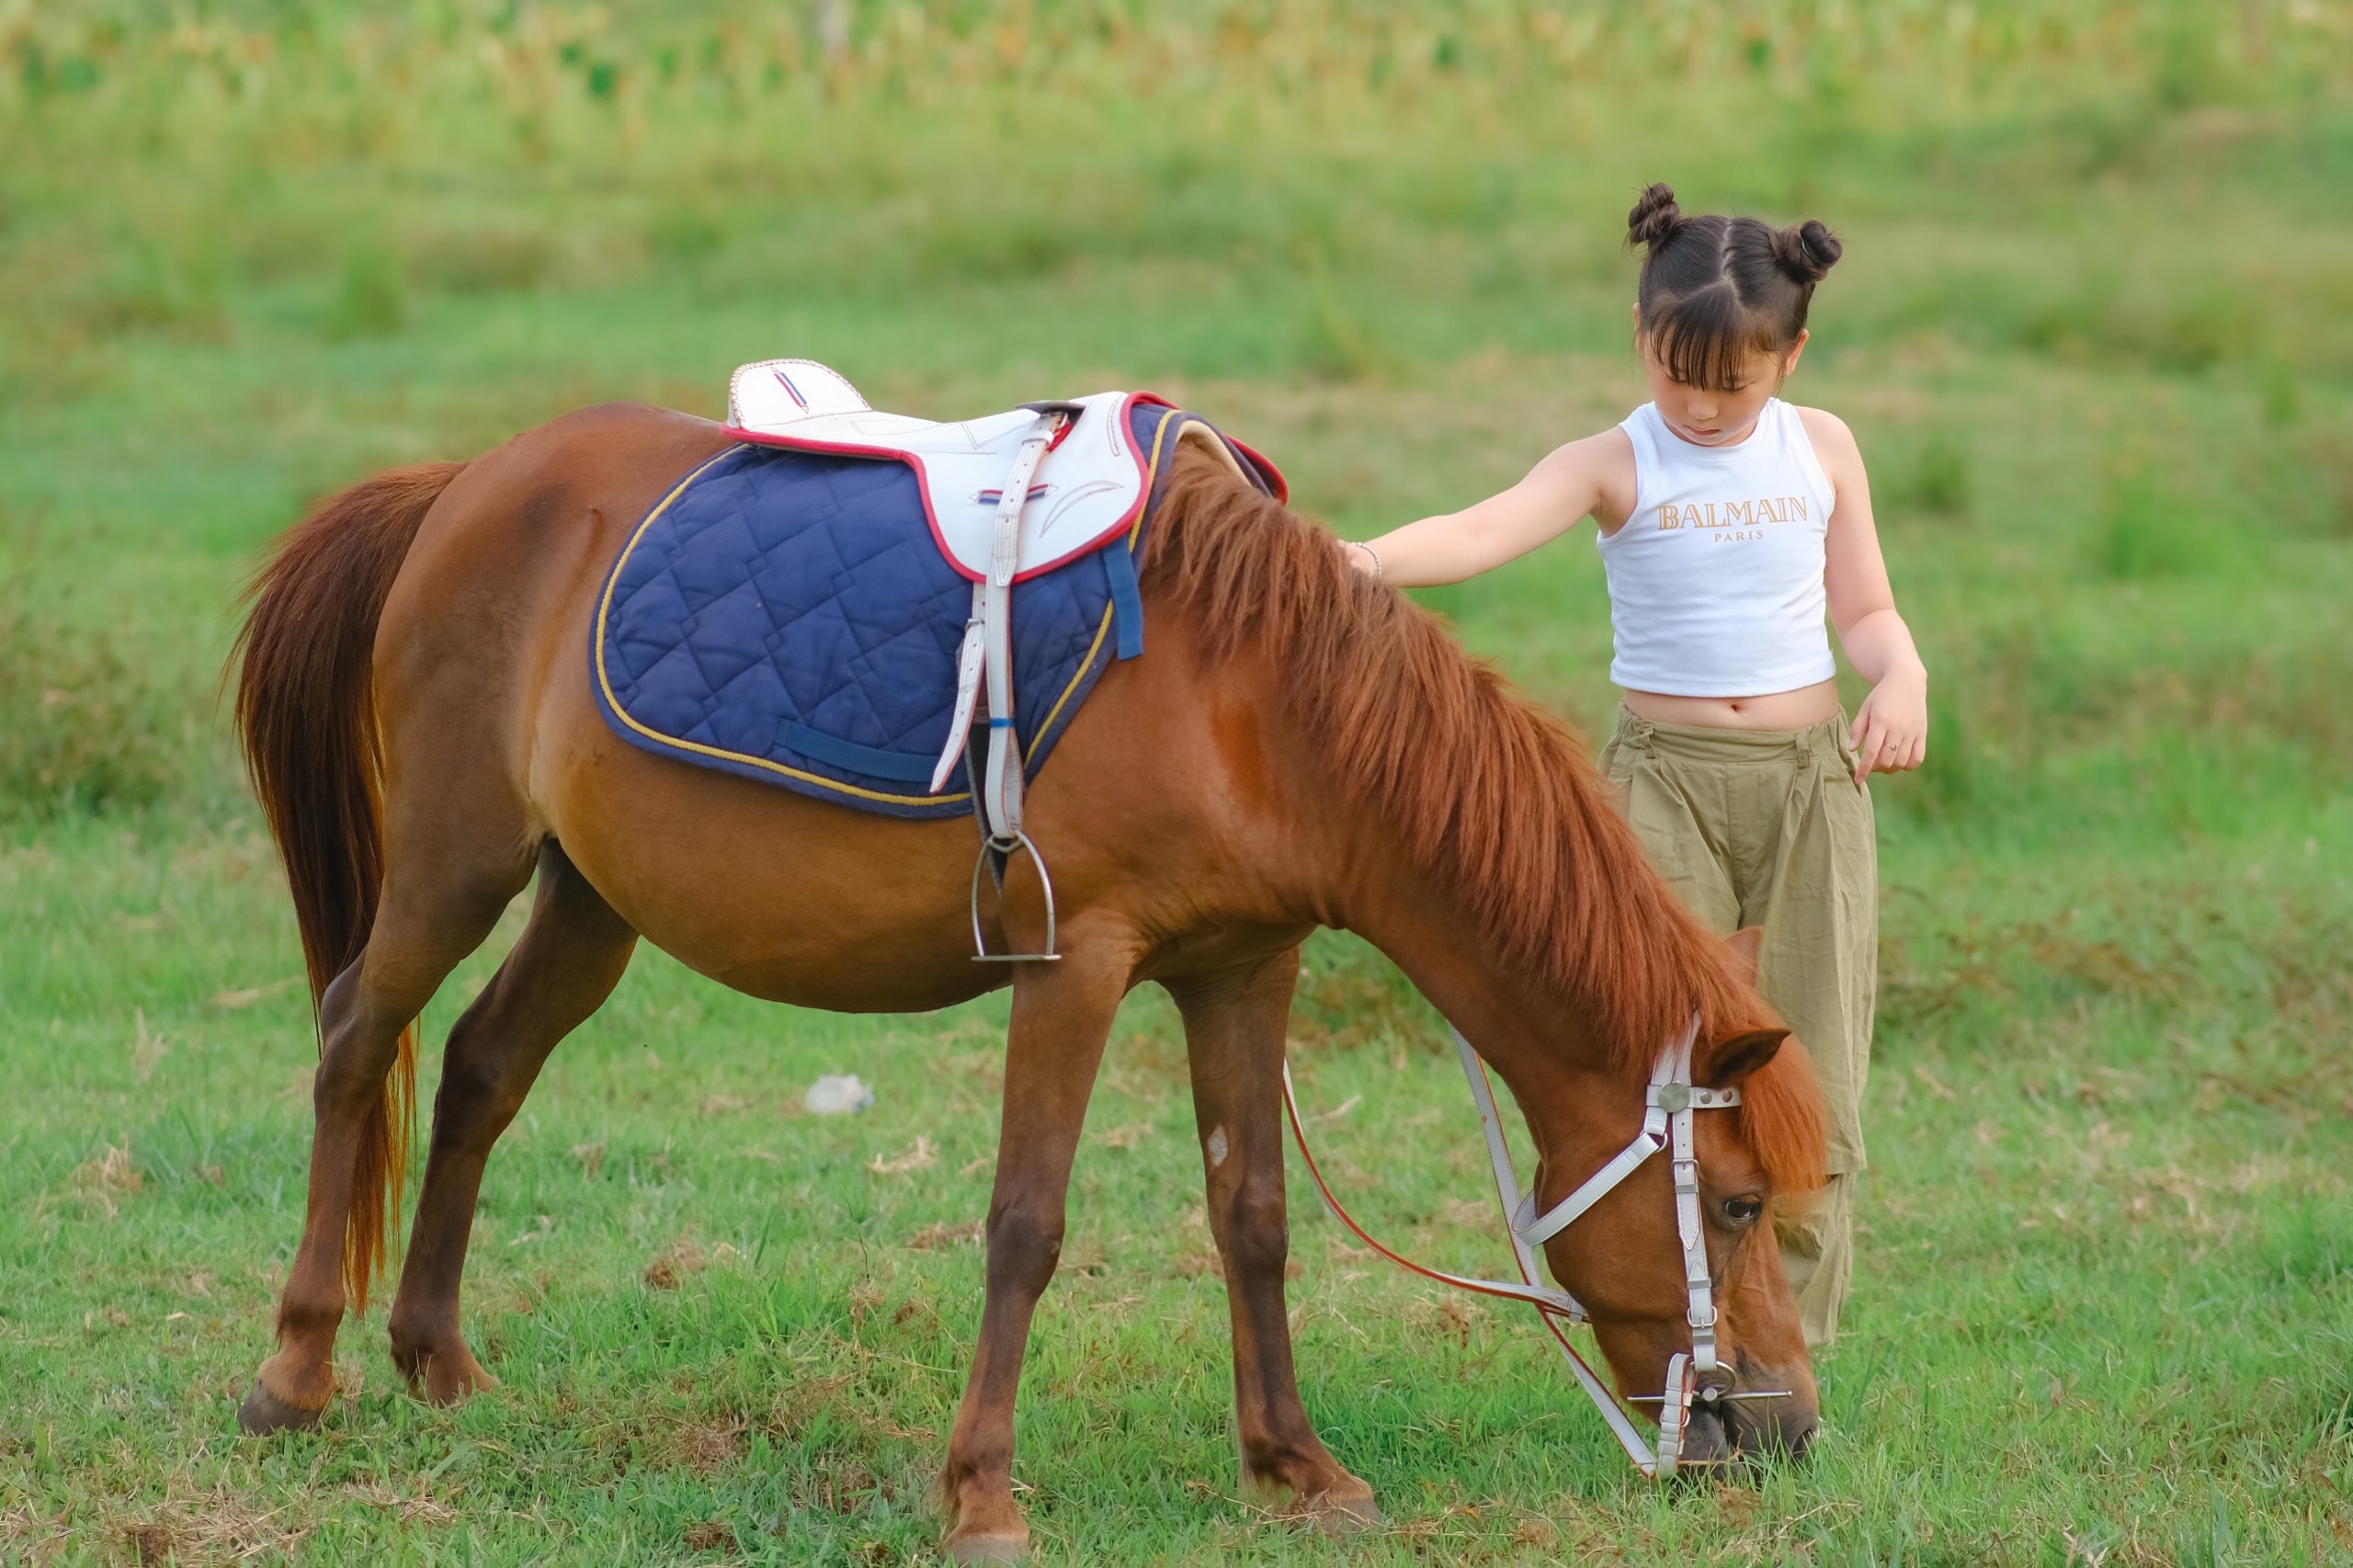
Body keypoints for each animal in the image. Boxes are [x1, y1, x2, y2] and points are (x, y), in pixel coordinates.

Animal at [229, 400, 1825, 1553]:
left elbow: (1252, 1219)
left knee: (482, 1068)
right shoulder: (1078, 964)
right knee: (354, 1041)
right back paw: (294, 1373)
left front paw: (1297, 1464)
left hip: (585, 895)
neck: (1252, 697)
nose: (1789, 1424)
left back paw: (437, 1361)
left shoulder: (1244, 970)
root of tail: (462, 483)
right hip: (453, 862)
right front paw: (982, 1490)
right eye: (1741, 1206)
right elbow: (1026, 1223)